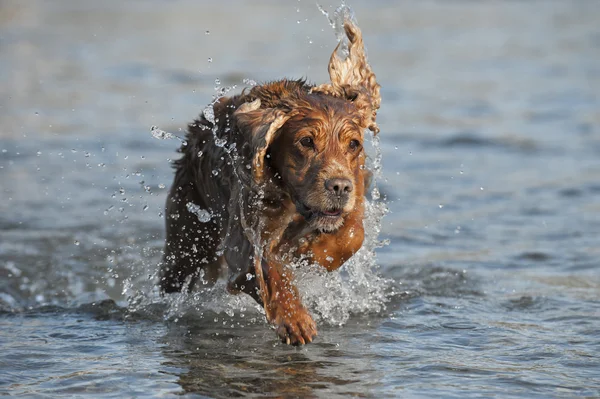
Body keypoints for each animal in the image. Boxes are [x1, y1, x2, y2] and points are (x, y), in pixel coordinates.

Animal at [159, 10, 380, 346]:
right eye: (306, 141)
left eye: (353, 144)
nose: (339, 187)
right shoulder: (244, 234)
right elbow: (268, 267)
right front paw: (294, 318)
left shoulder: (354, 194)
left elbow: (352, 234)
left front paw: (315, 253)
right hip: (187, 234)